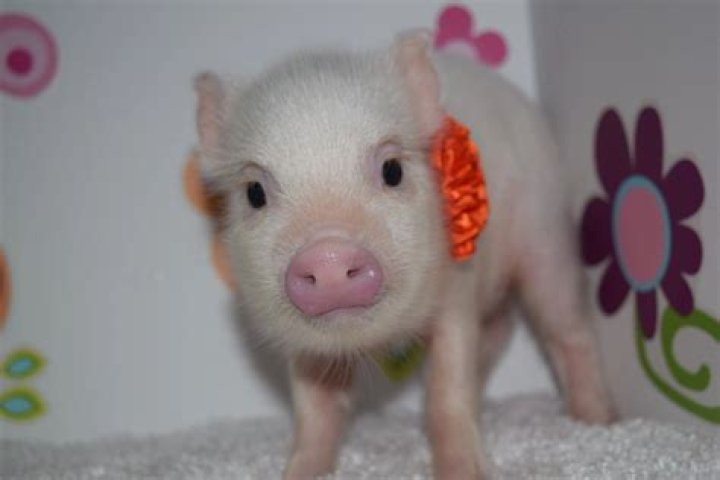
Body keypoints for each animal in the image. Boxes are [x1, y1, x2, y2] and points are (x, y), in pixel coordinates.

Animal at [193, 31, 614, 479]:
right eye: (254, 192)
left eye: (392, 169)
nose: (328, 256)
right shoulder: (305, 348)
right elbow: (315, 412)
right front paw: (299, 472)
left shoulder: (456, 293)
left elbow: (447, 386)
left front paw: (465, 472)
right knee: (500, 331)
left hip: (545, 232)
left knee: (567, 328)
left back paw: (598, 422)